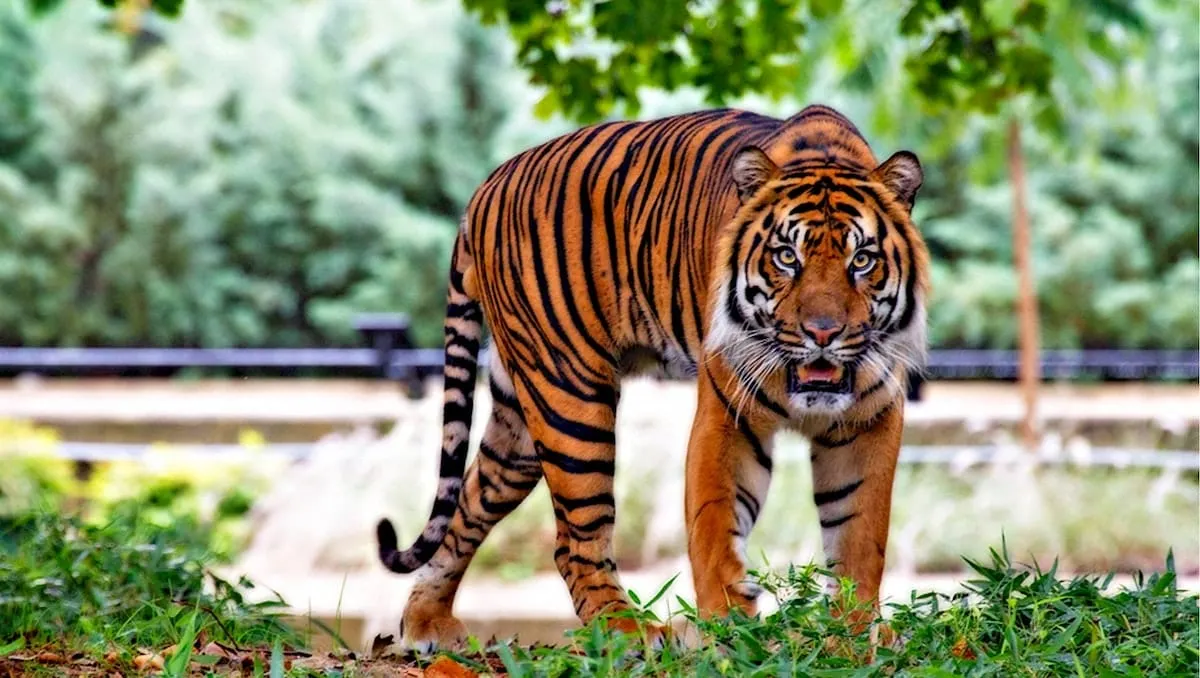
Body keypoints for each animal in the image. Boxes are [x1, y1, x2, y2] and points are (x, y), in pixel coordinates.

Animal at [375, 104, 929, 651]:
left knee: (469, 503)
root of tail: (485, 187)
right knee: (574, 540)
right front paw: (731, 634)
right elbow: (716, 527)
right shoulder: (727, 415)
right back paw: (629, 631)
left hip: (520, 423)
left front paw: (851, 635)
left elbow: (859, 537)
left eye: (862, 260)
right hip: (570, 398)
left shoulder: (870, 421)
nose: (822, 333)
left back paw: (427, 622)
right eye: (786, 257)